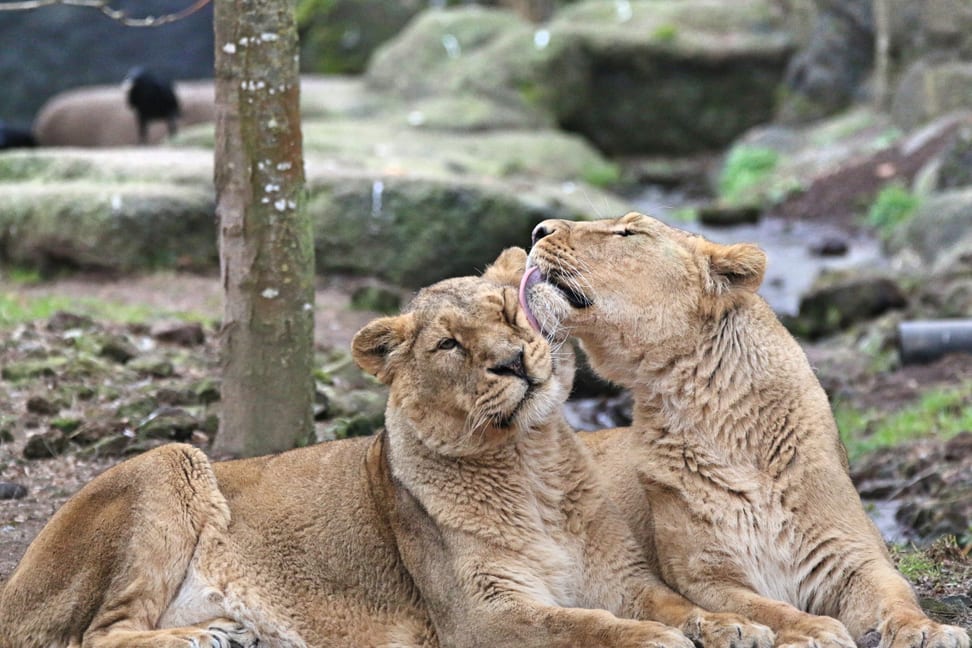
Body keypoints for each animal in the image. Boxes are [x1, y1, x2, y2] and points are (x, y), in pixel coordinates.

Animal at [0, 251, 776, 648]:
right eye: (449, 345)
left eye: (507, 313)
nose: (510, 363)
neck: (530, 464)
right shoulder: (480, 616)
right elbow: (579, 624)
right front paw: (655, 642)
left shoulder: (625, 580)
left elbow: (675, 604)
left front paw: (736, 627)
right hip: (169, 462)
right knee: (98, 634)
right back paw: (200, 638)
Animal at [520, 211, 972, 648]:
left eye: (630, 233)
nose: (538, 230)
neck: (721, 423)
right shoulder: (704, 576)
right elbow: (767, 609)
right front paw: (813, 630)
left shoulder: (853, 557)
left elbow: (897, 596)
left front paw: (928, 631)